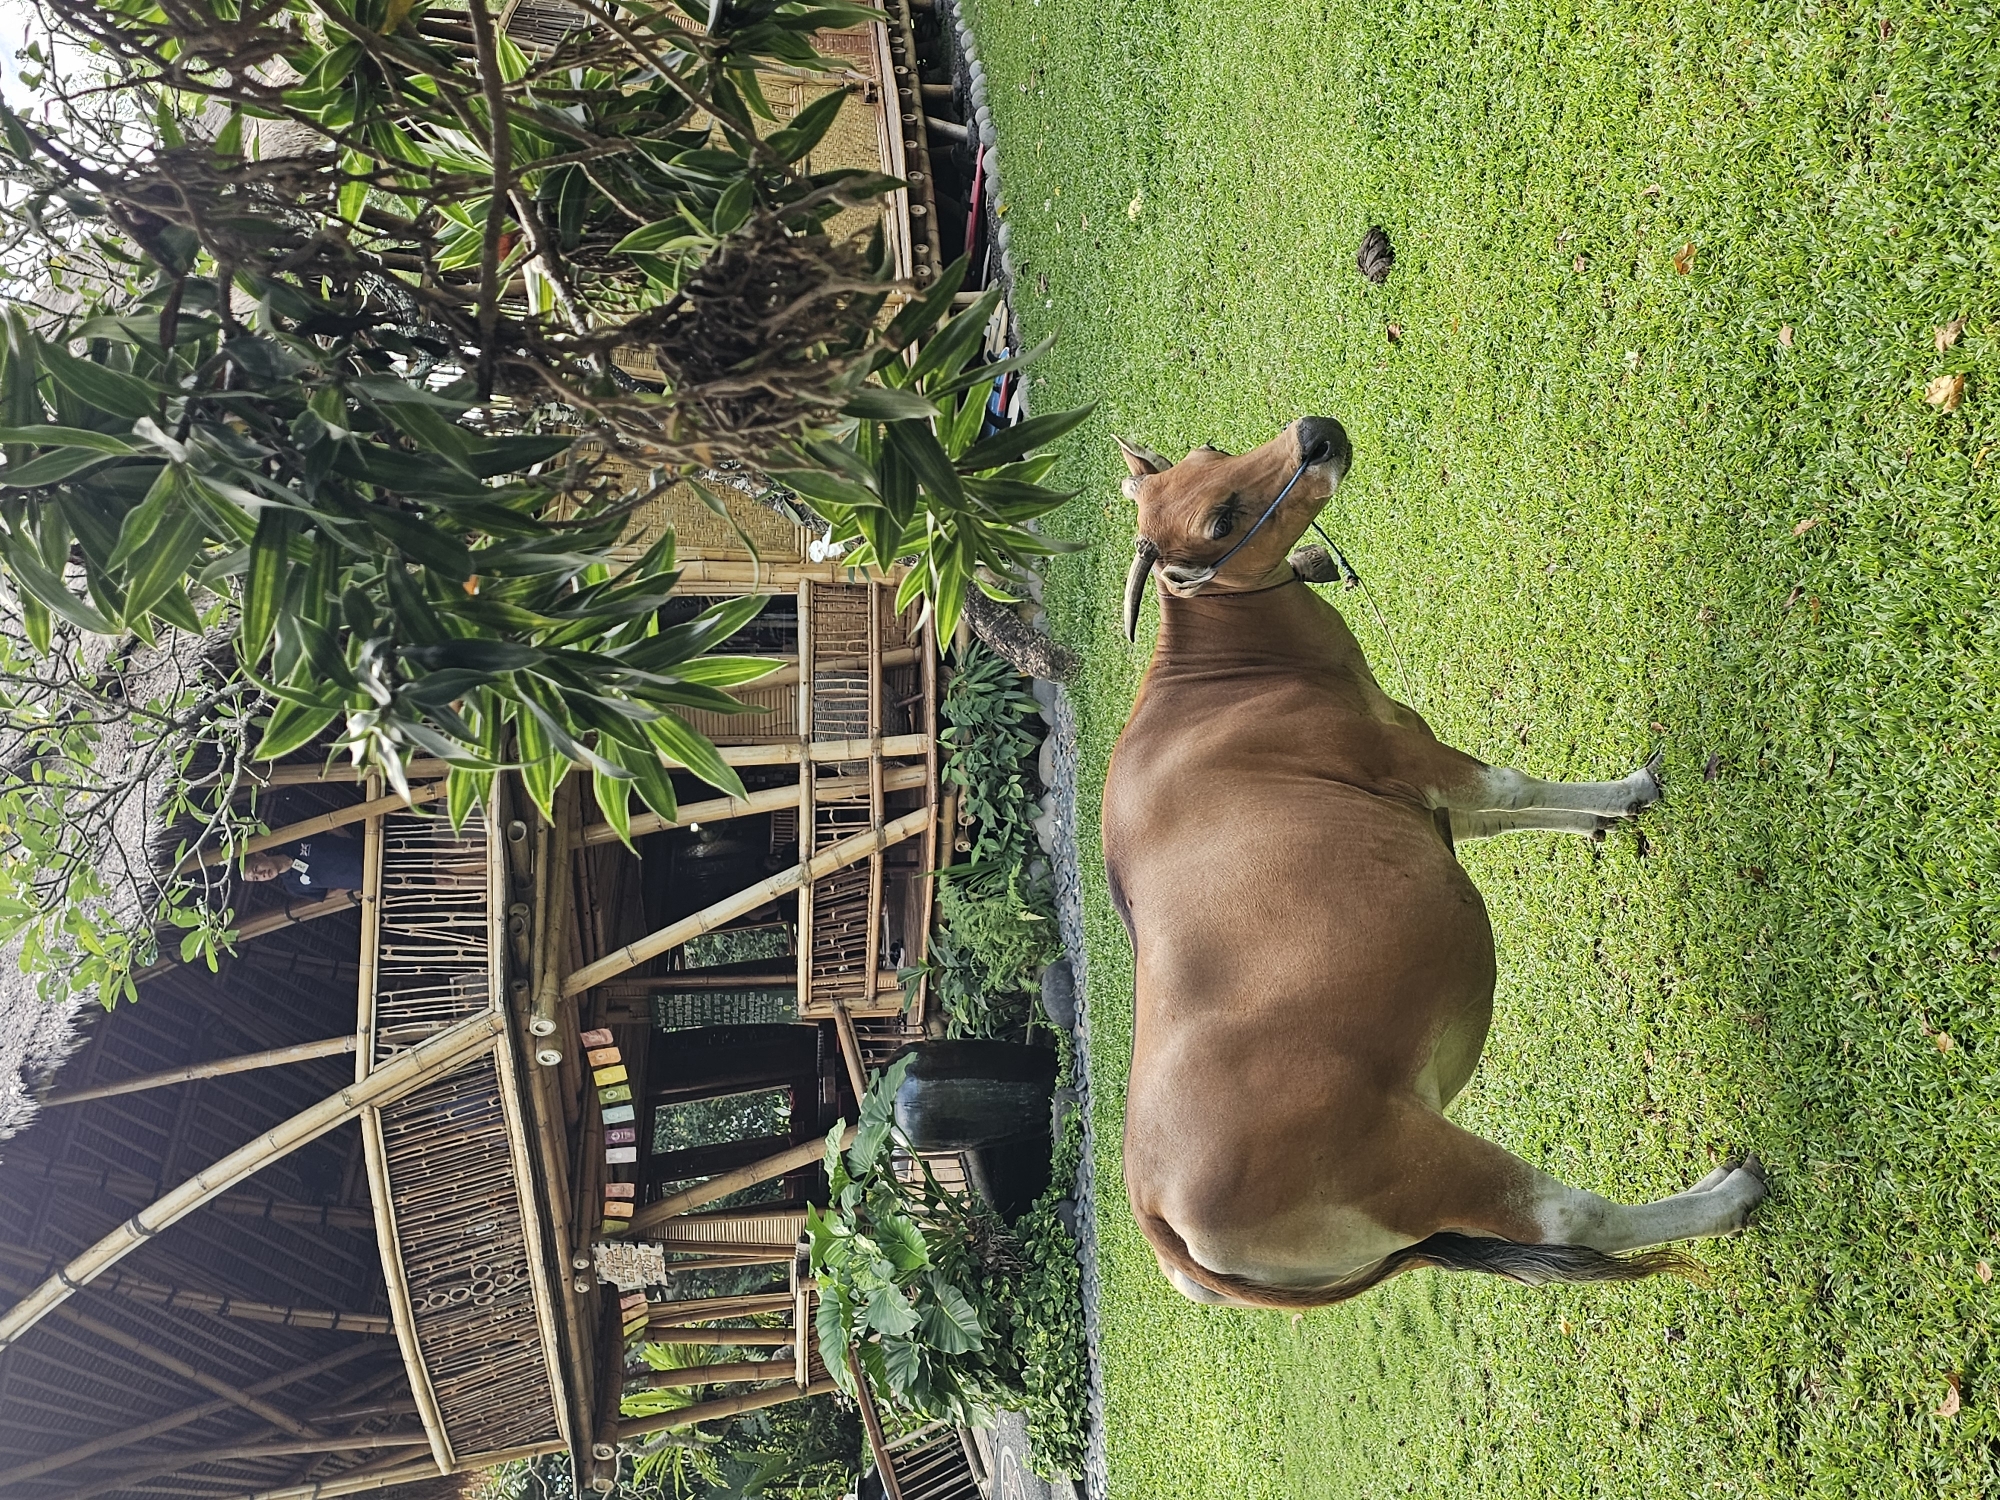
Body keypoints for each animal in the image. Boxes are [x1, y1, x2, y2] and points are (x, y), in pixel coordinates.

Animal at [1103, 416, 1767, 1308]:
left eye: (1211, 456)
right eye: (1219, 518)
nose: (1316, 435)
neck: (1226, 677)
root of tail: (1166, 1233)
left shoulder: (1428, 796)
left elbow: (1509, 813)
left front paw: (1612, 808)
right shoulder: (1411, 759)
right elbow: (1512, 784)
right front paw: (1632, 785)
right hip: (1429, 1167)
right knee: (1572, 1219)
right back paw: (1726, 1198)